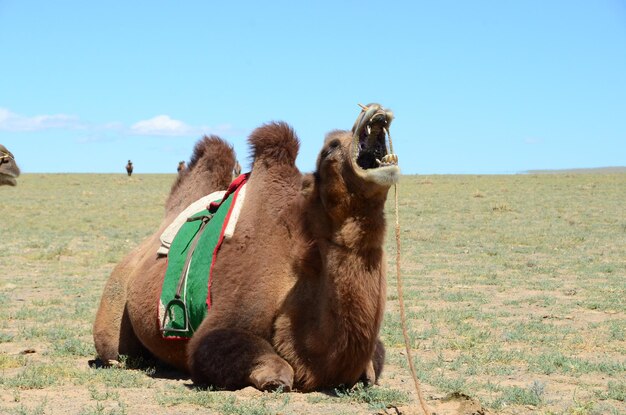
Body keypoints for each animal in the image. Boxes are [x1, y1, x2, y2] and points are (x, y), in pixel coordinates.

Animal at [93, 105, 400, 394]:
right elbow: (232, 352)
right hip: (115, 300)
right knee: (113, 349)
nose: (375, 113)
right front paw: (274, 378)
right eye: (331, 147)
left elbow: (376, 359)